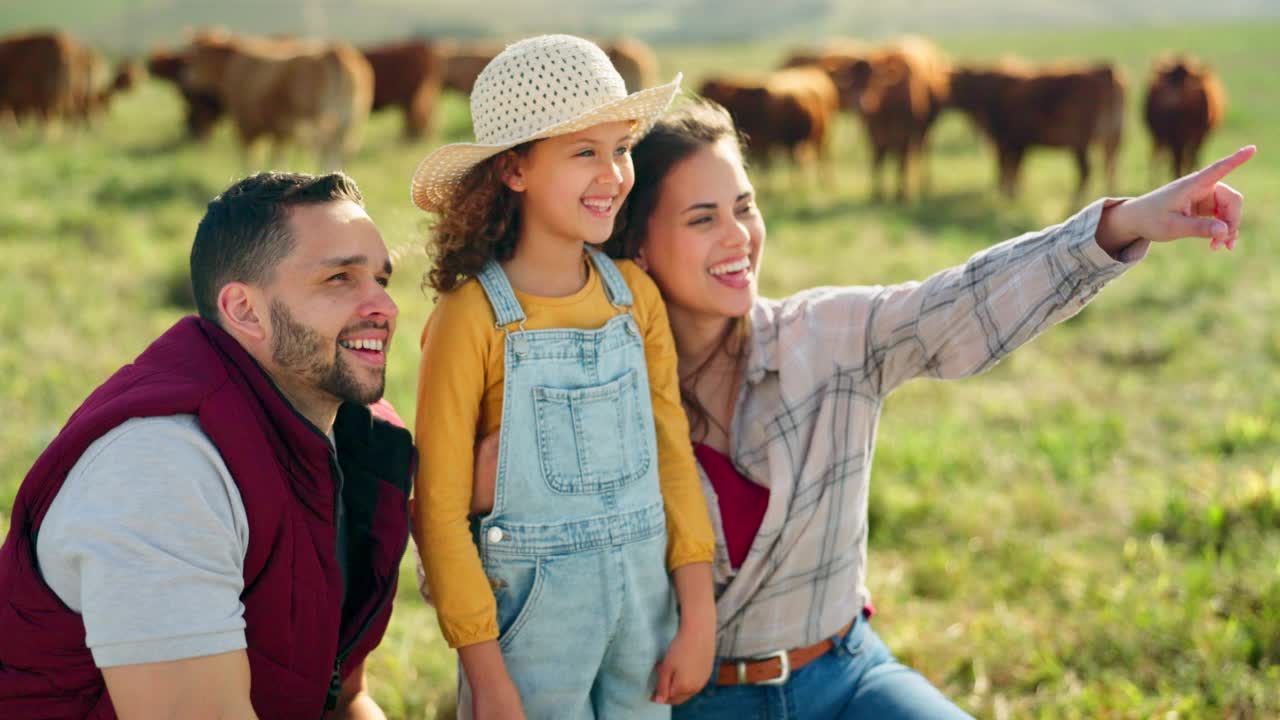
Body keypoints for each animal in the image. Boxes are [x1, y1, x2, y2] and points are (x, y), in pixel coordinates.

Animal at [179, 33, 373, 169]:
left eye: (198, 57)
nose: (186, 77)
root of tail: (334, 51)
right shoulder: (281, 131)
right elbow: (278, 157)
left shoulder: (246, 125)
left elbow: (251, 157)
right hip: (351, 122)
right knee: (343, 150)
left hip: (317, 123)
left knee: (325, 149)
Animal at [947, 60, 1126, 198]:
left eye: (957, 85)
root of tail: (1106, 71)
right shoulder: (1013, 142)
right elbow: (1013, 167)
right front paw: (1012, 193)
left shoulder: (1009, 140)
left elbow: (1008, 166)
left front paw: (1008, 194)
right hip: (1112, 139)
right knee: (1111, 167)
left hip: (1081, 142)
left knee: (1086, 171)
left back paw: (1075, 202)